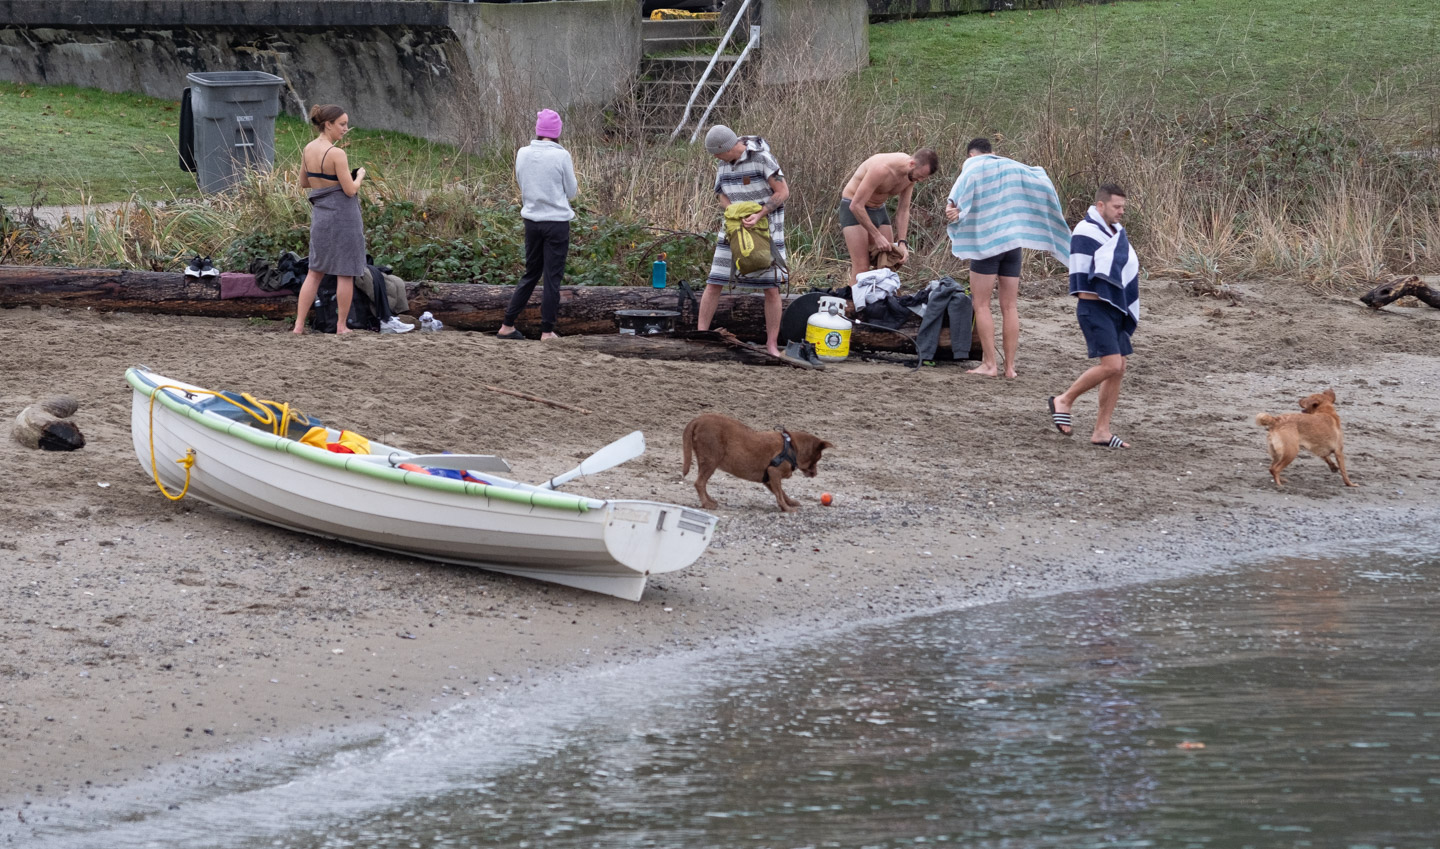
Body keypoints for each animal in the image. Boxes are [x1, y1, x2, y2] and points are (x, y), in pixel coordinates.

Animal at [682, 411, 835, 512]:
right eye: (818, 458)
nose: (816, 474)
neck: (792, 447)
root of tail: (698, 419)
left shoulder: (769, 478)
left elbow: (782, 493)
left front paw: (790, 502)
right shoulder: (774, 472)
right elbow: (780, 494)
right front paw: (786, 508)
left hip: (706, 462)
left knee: (702, 483)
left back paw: (710, 500)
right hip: (711, 461)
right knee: (699, 483)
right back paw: (706, 504)